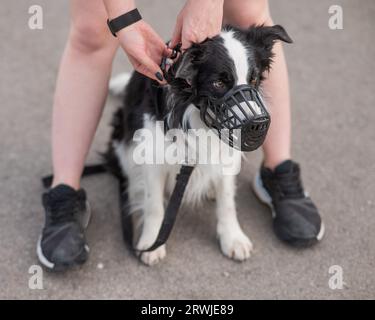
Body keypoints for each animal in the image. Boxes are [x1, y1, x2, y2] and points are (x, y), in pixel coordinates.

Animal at [106, 24, 294, 264]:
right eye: (219, 83)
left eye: (253, 80)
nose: (257, 125)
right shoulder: (152, 155)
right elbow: (153, 203)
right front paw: (151, 243)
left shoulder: (227, 154)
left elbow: (227, 201)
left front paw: (232, 238)